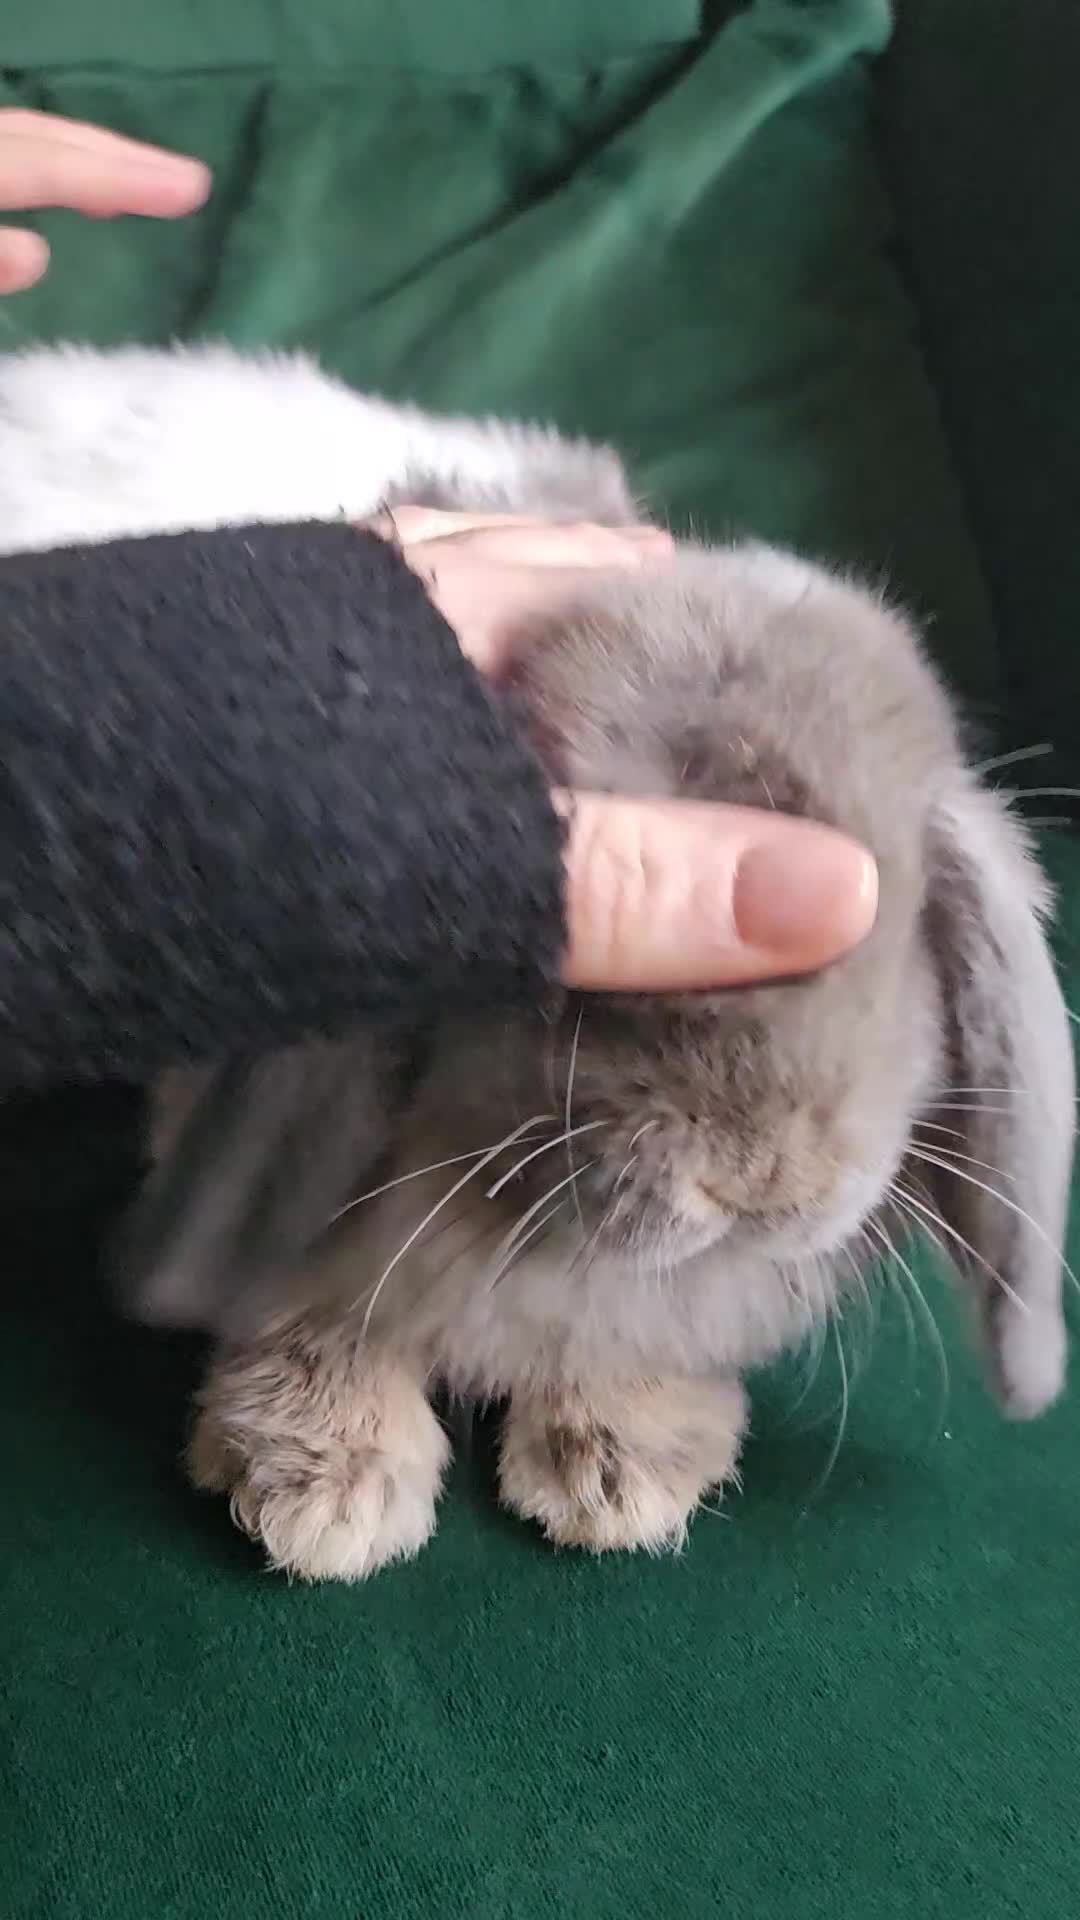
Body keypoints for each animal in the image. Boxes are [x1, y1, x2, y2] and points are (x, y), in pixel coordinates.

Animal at [1, 344, 1072, 1580]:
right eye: (573, 986)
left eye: (908, 951)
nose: (762, 1181)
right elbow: (308, 1314)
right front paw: (327, 1493)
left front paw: (624, 1471)